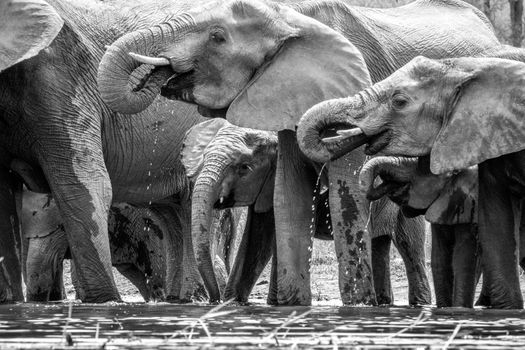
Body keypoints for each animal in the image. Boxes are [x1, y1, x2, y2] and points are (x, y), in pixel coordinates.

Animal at [181, 119, 430, 304]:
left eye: (244, 167)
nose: (212, 300)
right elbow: (256, 241)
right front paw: (234, 303)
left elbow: (264, 241)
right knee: (379, 244)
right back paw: (385, 303)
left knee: (409, 246)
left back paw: (419, 303)